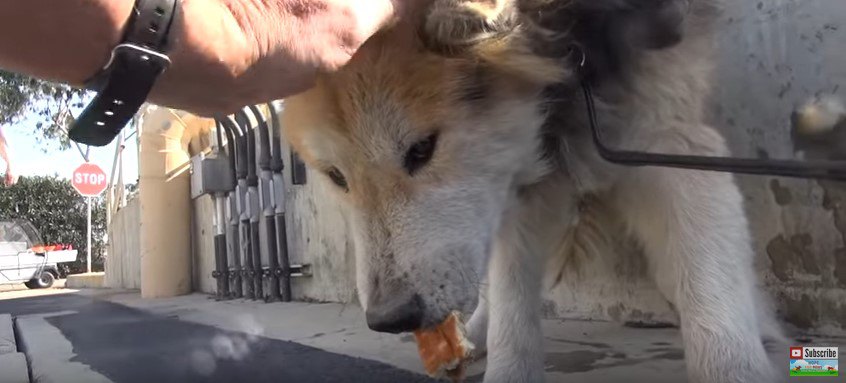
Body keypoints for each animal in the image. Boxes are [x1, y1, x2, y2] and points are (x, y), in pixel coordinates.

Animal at [282, 0, 784, 382]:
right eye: (336, 176)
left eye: (422, 149)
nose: (390, 319)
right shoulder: (512, 182)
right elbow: (511, 304)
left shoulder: (673, 141)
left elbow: (710, 291)